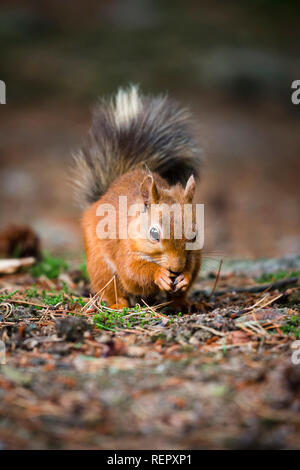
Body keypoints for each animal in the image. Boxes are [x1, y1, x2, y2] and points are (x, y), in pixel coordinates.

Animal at [74, 85, 203, 312]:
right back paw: (119, 304)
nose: (176, 268)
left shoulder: (194, 255)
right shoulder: (124, 249)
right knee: (111, 287)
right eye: (154, 234)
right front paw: (158, 274)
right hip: (100, 265)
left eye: (194, 234)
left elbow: (192, 267)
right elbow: (133, 273)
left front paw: (184, 277)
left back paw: (183, 303)